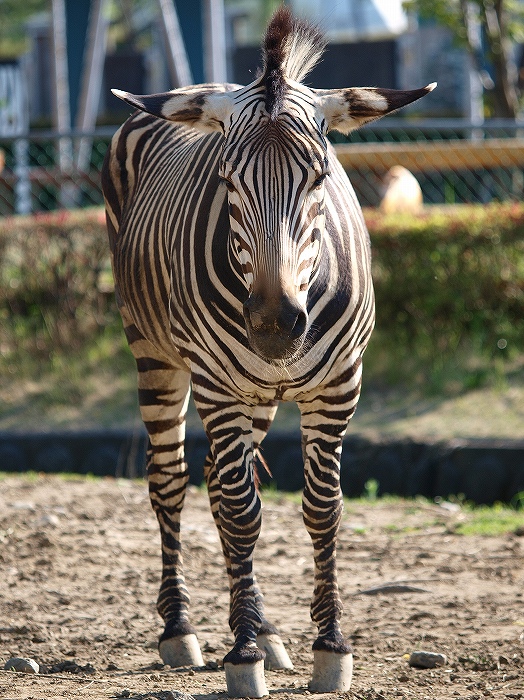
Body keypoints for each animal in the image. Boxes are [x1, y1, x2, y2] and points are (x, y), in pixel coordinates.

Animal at [102, 8, 434, 696]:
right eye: (228, 180)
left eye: (320, 177)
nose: (276, 325)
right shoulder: (216, 386)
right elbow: (241, 513)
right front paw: (243, 654)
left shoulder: (340, 386)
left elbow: (322, 506)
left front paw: (329, 646)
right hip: (156, 354)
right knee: (171, 479)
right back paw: (181, 630)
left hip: (254, 392)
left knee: (212, 477)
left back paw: (266, 628)